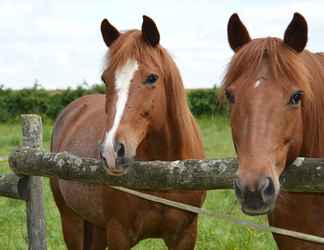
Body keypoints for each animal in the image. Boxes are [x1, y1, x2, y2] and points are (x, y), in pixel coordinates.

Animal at [49, 16, 205, 250]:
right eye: (105, 78)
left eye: (152, 78)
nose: (112, 152)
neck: (165, 172)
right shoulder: (118, 234)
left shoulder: (185, 236)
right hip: (71, 221)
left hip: (96, 227)